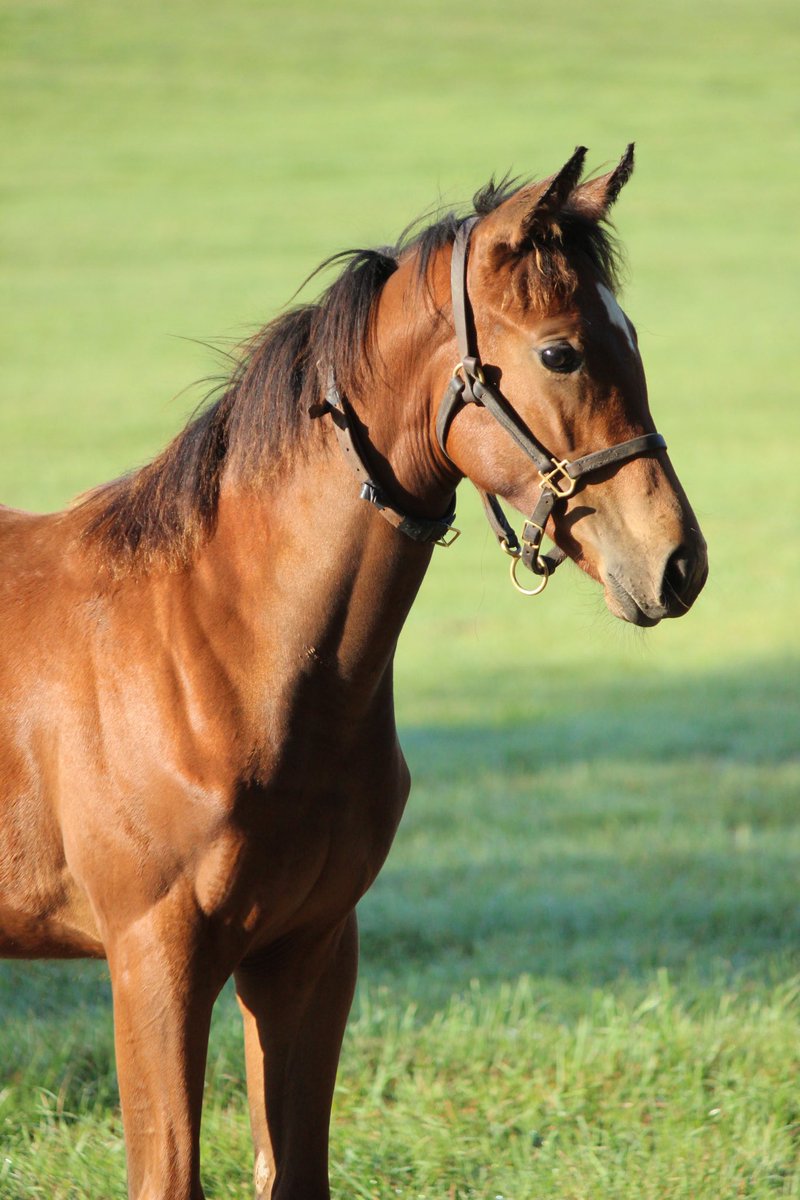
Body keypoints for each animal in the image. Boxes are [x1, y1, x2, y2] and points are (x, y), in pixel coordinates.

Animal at [0, 150, 705, 1200]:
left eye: (630, 337)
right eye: (561, 354)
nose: (677, 564)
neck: (222, 650)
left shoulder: (308, 953)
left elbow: (294, 1170)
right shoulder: (154, 961)